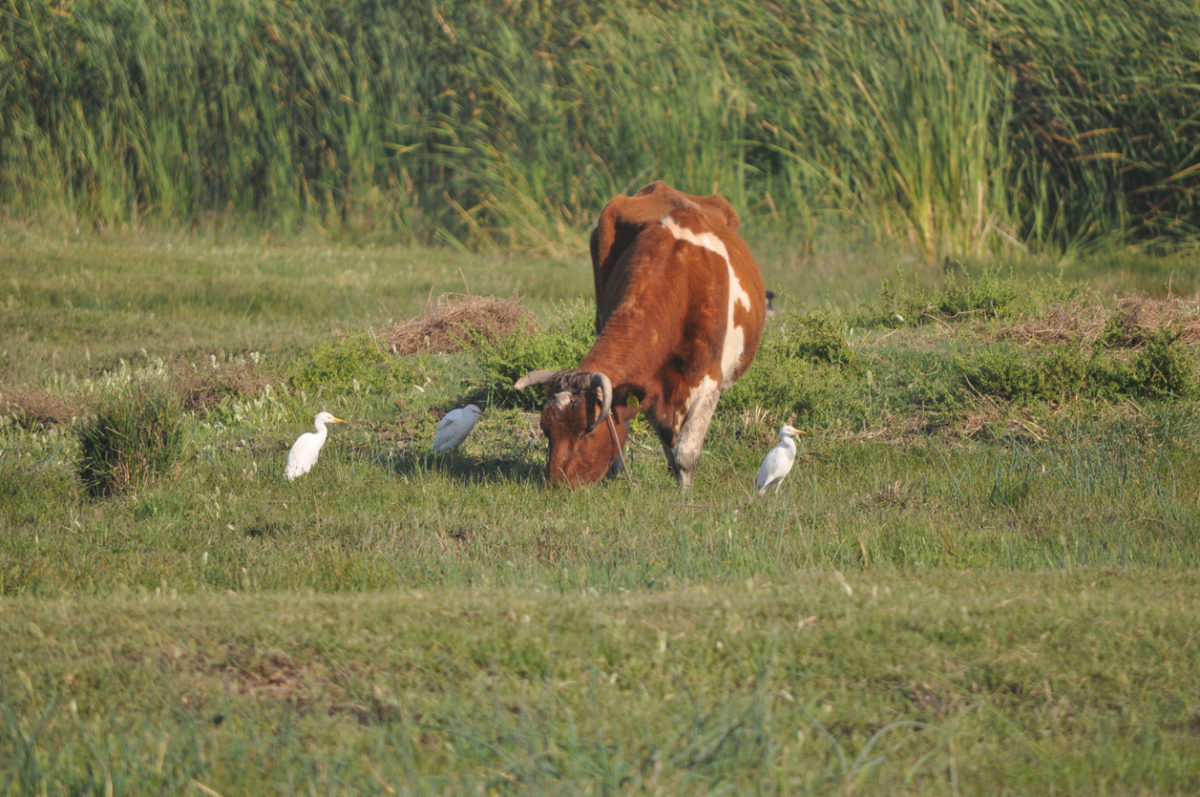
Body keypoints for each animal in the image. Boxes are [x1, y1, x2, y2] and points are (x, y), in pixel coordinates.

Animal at [511, 181, 763, 489]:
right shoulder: (651, 386)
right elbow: (665, 443)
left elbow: (686, 452)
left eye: (587, 431)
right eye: (547, 430)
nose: (557, 486)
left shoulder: (709, 381)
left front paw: (685, 495)